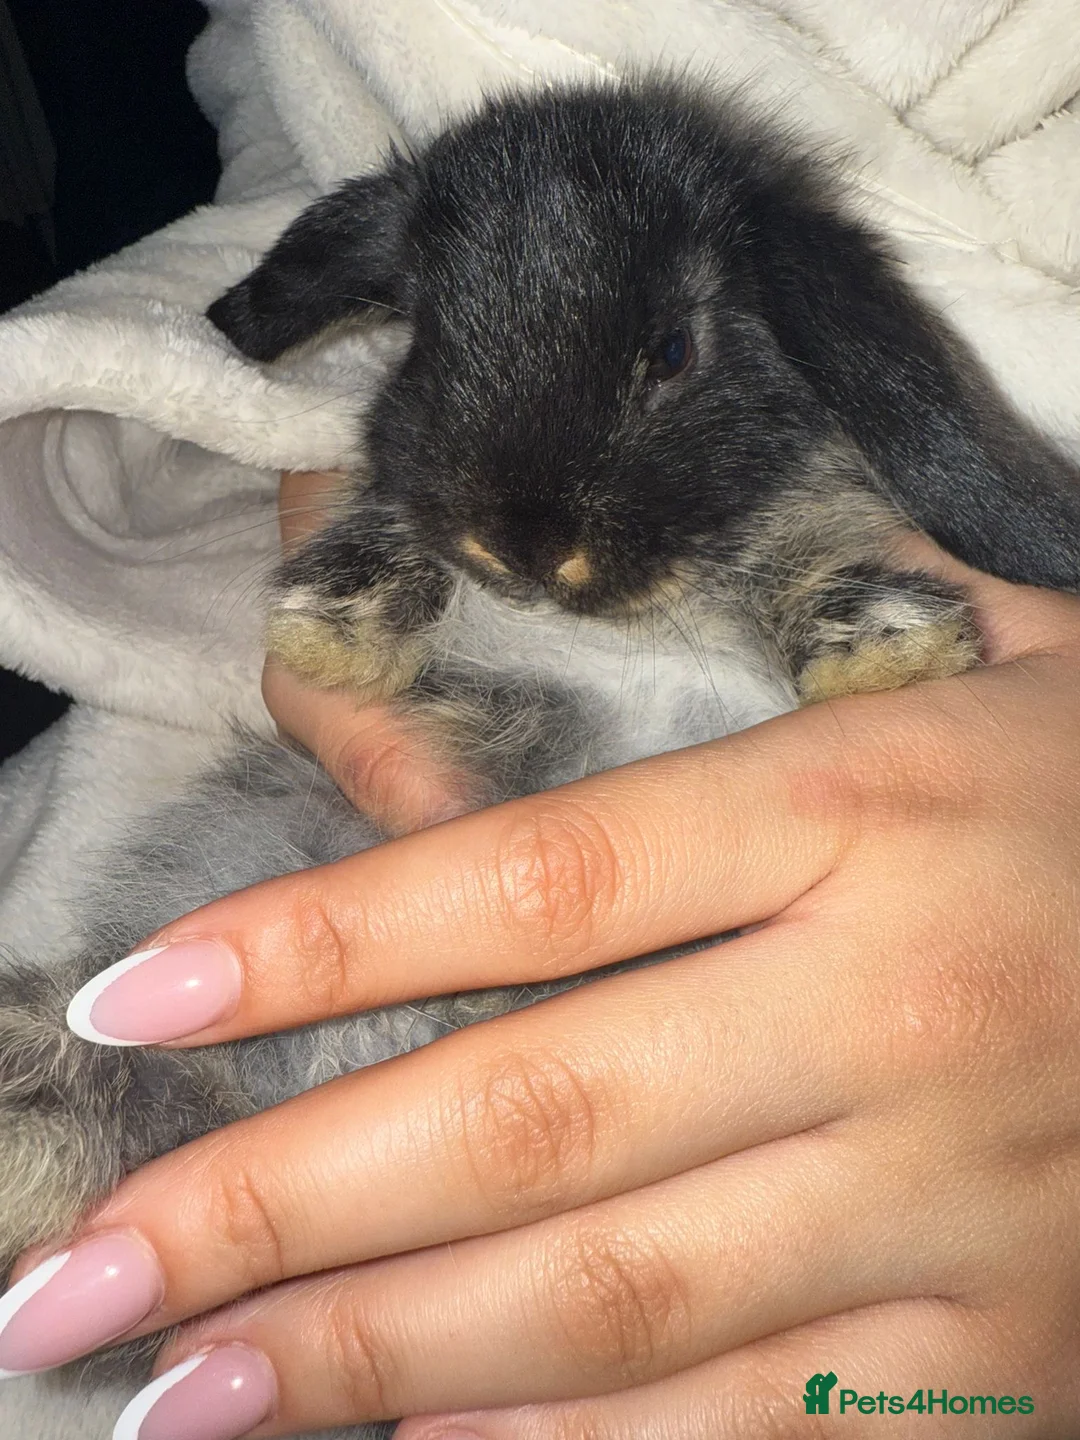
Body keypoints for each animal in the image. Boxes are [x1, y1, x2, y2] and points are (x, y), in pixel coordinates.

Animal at [3, 75, 1080, 1436]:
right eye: (427, 339)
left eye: (673, 350)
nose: (519, 542)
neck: (610, 631)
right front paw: (339, 617)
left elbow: (804, 561)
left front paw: (884, 645)